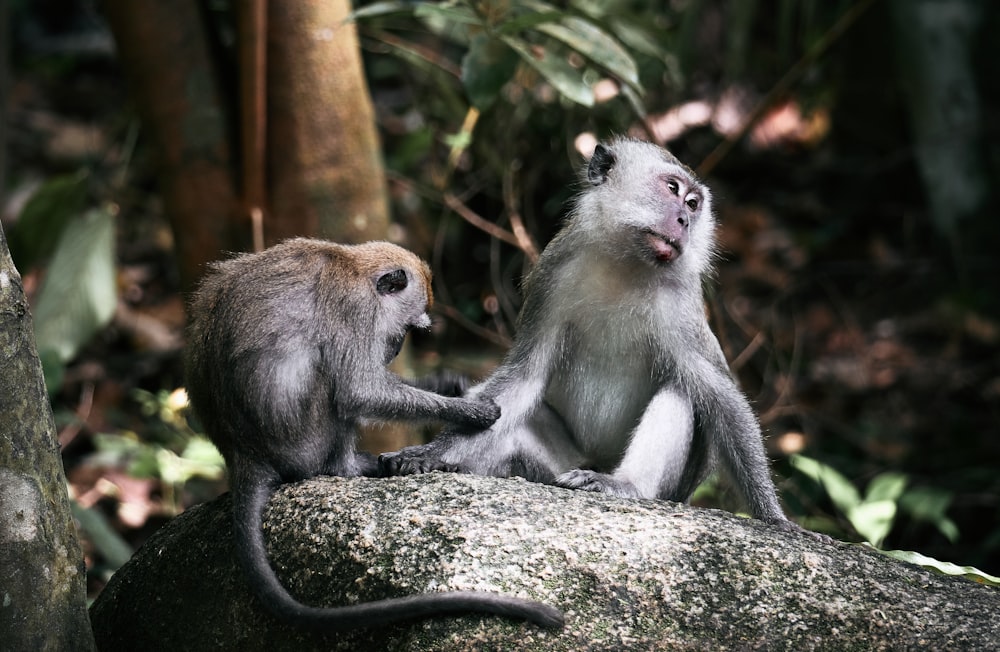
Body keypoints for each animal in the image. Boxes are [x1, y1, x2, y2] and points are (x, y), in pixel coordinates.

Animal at [184, 239, 564, 632]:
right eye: (409, 326)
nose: (395, 348)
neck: (353, 266)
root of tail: (244, 455)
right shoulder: (355, 310)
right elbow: (359, 391)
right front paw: (469, 411)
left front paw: (445, 385)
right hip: (304, 445)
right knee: (334, 385)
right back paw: (351, 467)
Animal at [382, 139, 796, 528]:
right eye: (673, 188)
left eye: (694, 204)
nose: (684, 220)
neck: (625, 263)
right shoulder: (553, 273)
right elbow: (521, 382)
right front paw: (428, 453)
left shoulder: (682, 304)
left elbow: (716, 393)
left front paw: (774, 518)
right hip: (562, 464)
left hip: (668, 489)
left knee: (682, 390)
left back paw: (624, 484)